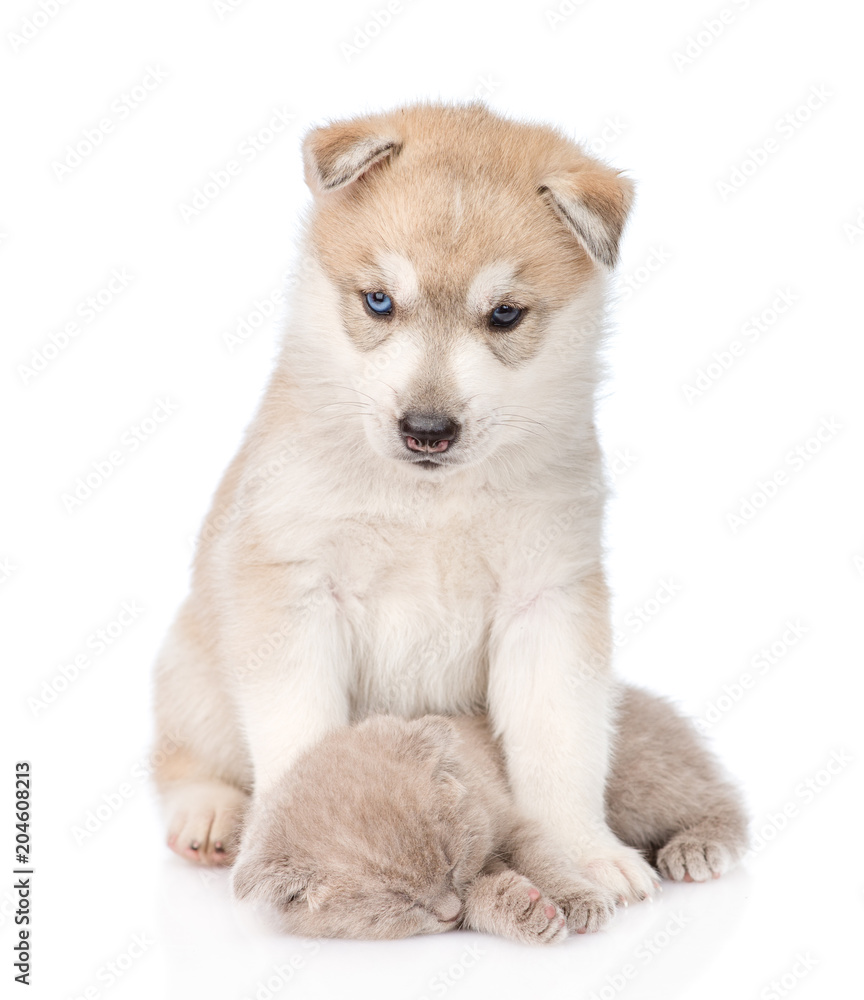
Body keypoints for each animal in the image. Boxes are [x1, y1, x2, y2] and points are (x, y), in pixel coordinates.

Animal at [155, 103, 660, 908]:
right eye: (379, 301)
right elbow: (300, 734)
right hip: (193, 670)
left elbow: (562, 747)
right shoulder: (295, 595)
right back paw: (207, 812)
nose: (426, 429)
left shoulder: (548, 600)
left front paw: (585, 852)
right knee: (183, 759)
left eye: (505, 315)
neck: (430, 502)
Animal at [231, 688, 748, 944]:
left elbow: (542, 856)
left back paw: (697, 849)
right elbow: (480, 902)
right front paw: (530, 911)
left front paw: (578, 900)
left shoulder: (512, 820)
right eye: (398, 900)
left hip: (636, 780)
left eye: (448, 862)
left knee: (719, 797)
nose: (445, 909)